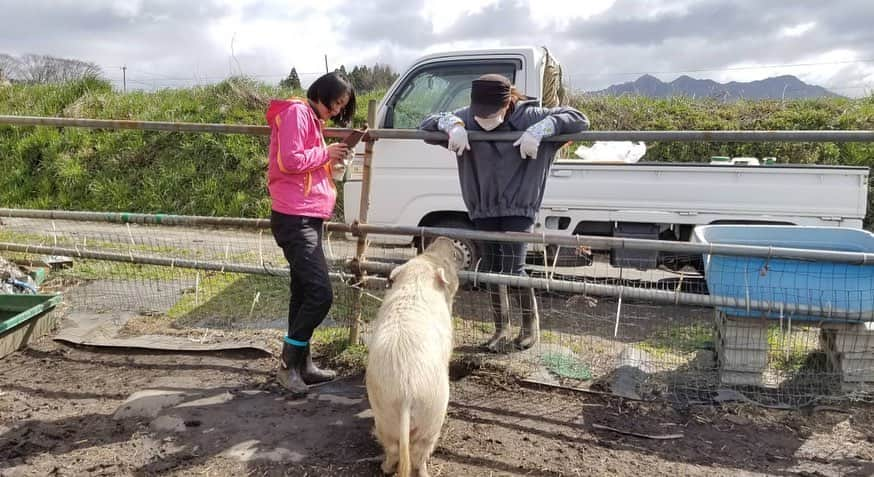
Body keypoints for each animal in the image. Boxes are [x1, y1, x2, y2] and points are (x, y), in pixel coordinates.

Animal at [362, 238, 460, 476]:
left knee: (393, 447)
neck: (418, 275)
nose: (445, 239)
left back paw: (384, 467)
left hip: (384, 413)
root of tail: (406, 390)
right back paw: (424, 472)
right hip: (433, 415)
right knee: (420, 453)